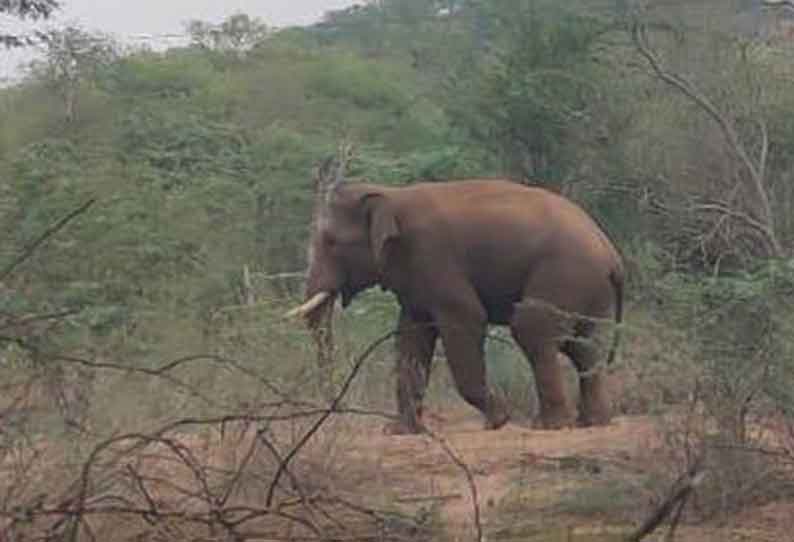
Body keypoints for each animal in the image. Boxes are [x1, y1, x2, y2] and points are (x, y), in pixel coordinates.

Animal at [286, 155, 624, 436]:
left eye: (330, 242)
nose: (336, 407)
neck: (390, 194)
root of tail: (611, 254)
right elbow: (411, 336)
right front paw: (399, 431)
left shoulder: (434, 254)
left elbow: (466, 318)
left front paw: (498, 419)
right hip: (589, 289)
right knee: (584, 346)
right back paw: (593, 421)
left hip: (563, 274)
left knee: (533, 328)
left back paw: (549, 426)